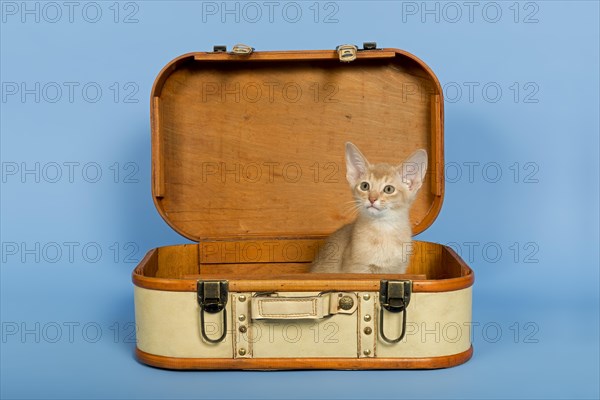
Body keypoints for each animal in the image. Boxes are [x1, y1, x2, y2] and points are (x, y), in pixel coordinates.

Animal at [310, 142, 426, 274]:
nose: (372, 199)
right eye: (364, 186)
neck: (383, 230)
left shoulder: (398, 270)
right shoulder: (356, 269)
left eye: (389, 189)